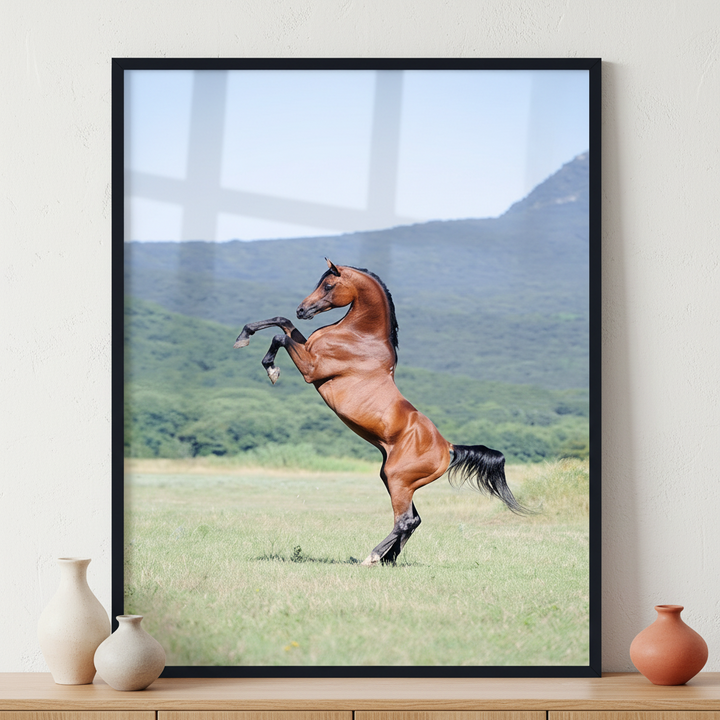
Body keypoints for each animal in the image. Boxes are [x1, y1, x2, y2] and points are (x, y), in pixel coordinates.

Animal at [234, 258, 526, 566]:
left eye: (328, 285)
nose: (302, 310)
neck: (359, 336)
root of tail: (448, 447)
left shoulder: (311, 367)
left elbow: (279, 335)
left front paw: (271, 369)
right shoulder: (306, 348)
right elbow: (281, 321)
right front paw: (244, 336)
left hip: (398, 481)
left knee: (404, 520)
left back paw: (373, 557)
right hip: (396, 481)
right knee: (414, 519)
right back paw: (389, 558)